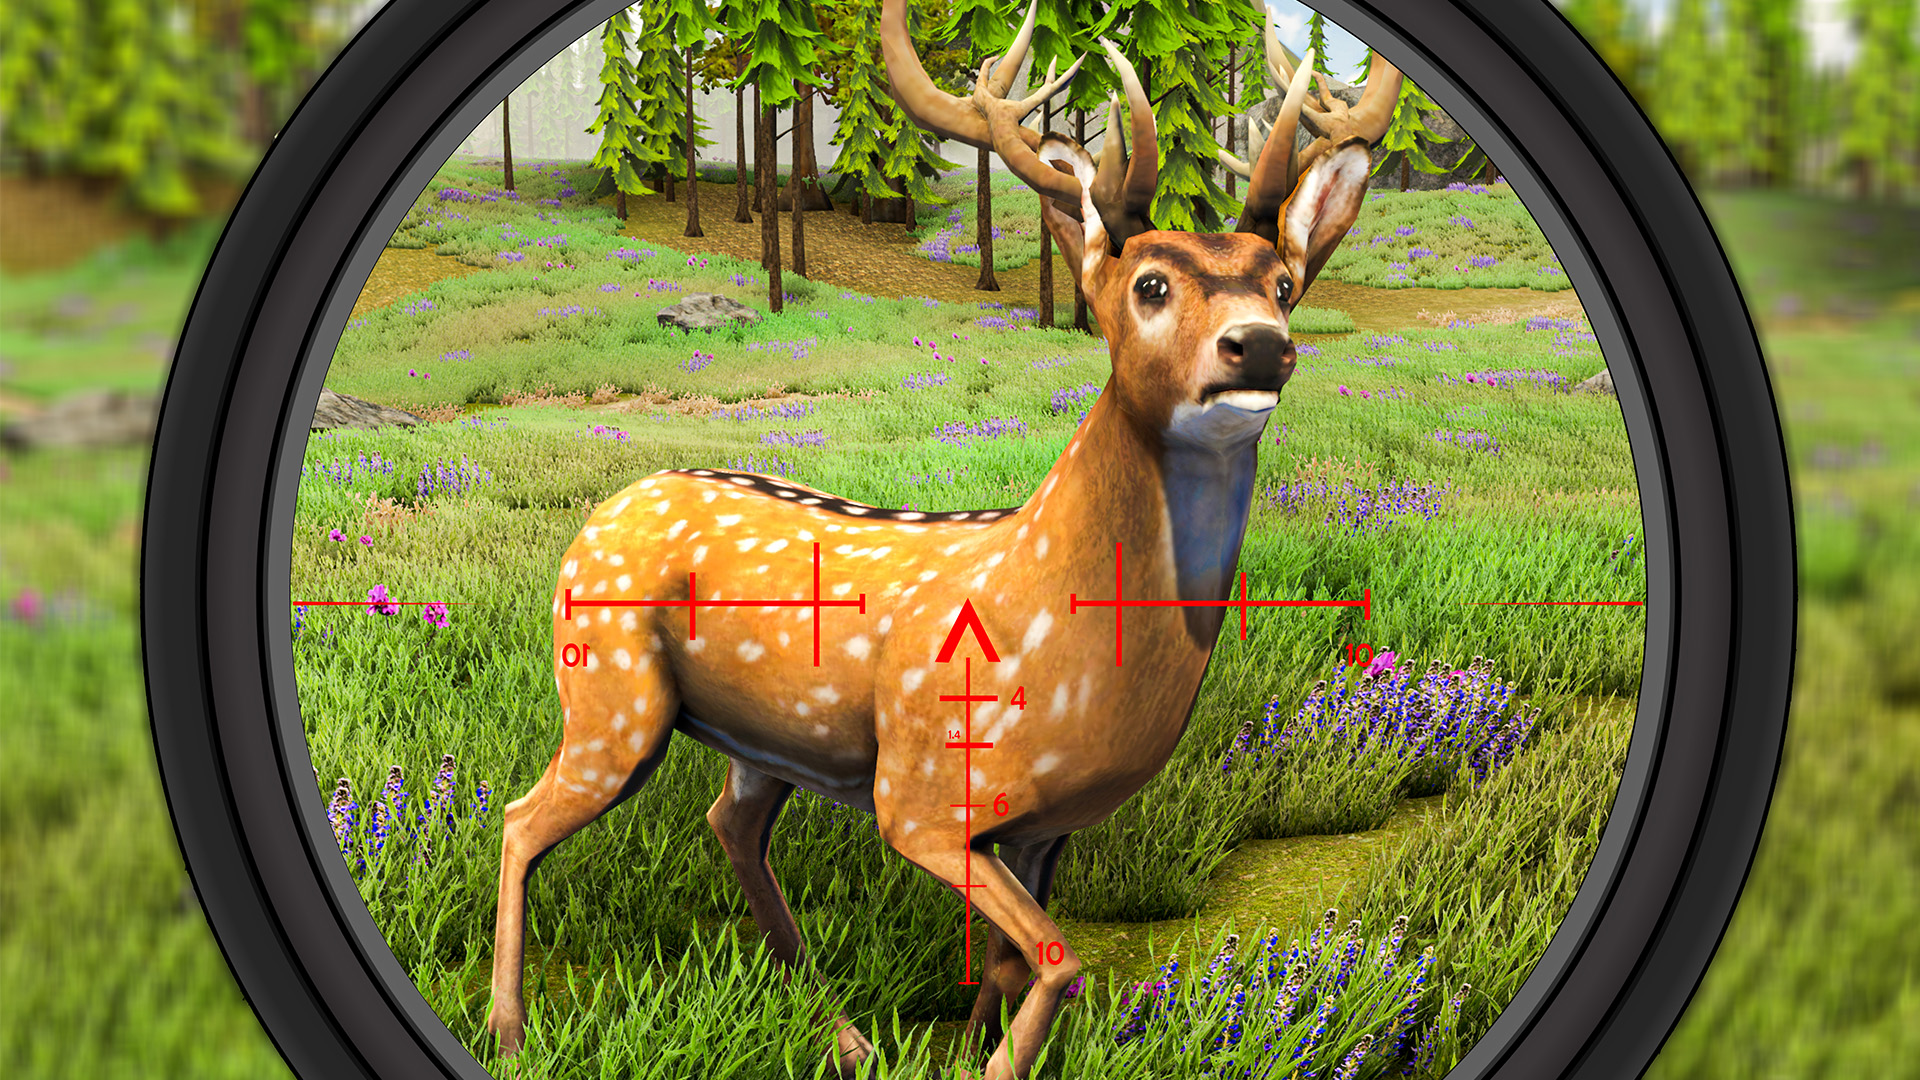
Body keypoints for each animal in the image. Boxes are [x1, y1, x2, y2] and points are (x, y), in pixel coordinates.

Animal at [485, 2, 1401, 1075]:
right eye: (1150, 285)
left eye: (1287, 283)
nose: (1259, 343)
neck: (1062, 633)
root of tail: (603, 509)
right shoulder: (922, 790)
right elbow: (1058, 959)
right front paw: (991, 1061)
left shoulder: (1045, 827)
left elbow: (1009, 965)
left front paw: (971, 1050)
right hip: (610, 694)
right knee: (521, 821)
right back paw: (508, 1030)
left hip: (762, 732)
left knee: (730, 823)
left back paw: (842, 1034)